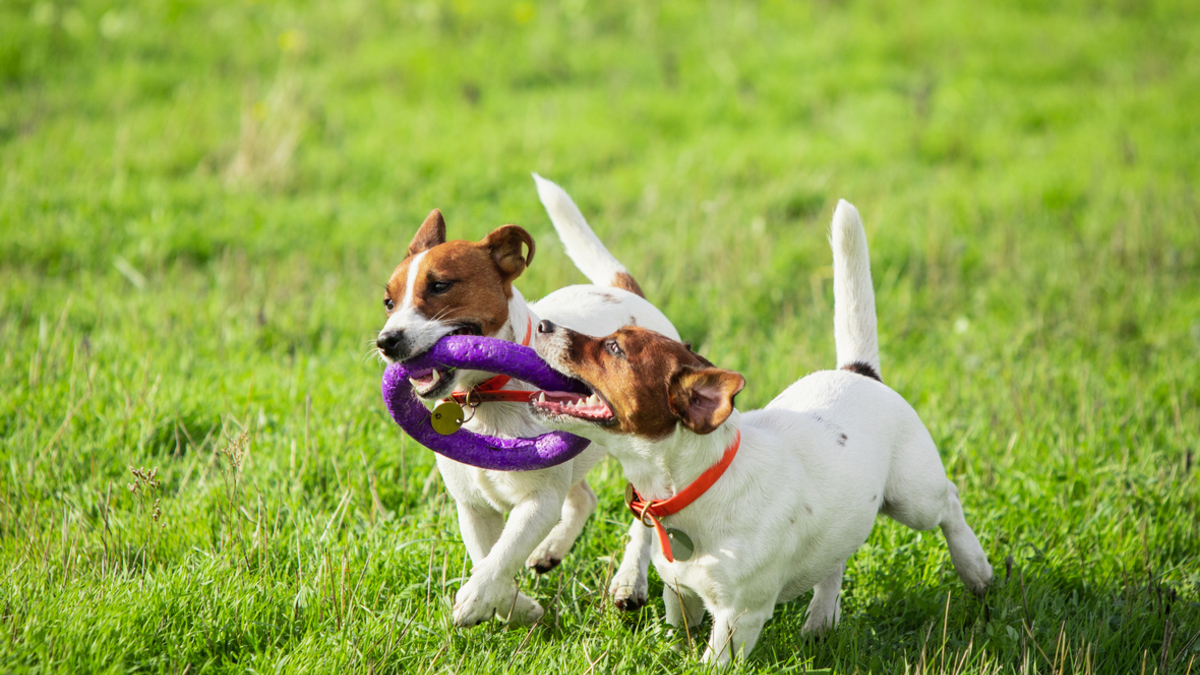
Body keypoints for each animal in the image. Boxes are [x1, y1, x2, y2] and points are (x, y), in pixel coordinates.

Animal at [374, 174, 676, 624]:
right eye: (388, 302)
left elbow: (502, 555)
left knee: (643, 517)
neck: (486, 397)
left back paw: (628, 581)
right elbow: (488, 555)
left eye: (440, 285)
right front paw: (517, 607)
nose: (386, 341)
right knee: (583, 498)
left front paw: (477, 599)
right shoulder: (472, 506)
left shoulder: (538, 501)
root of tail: (624, 292)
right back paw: (551, 550)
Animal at [530, 199, 988, 662]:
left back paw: (976, 568)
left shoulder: (738, 617)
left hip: (913, 497)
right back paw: (822, 617)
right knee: (836, 558)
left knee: (949, 501)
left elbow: (711, 662)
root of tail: (858, 372)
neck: (697, 486)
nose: (544, 324)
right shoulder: (682, 595)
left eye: (615, 348)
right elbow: (682, 630)